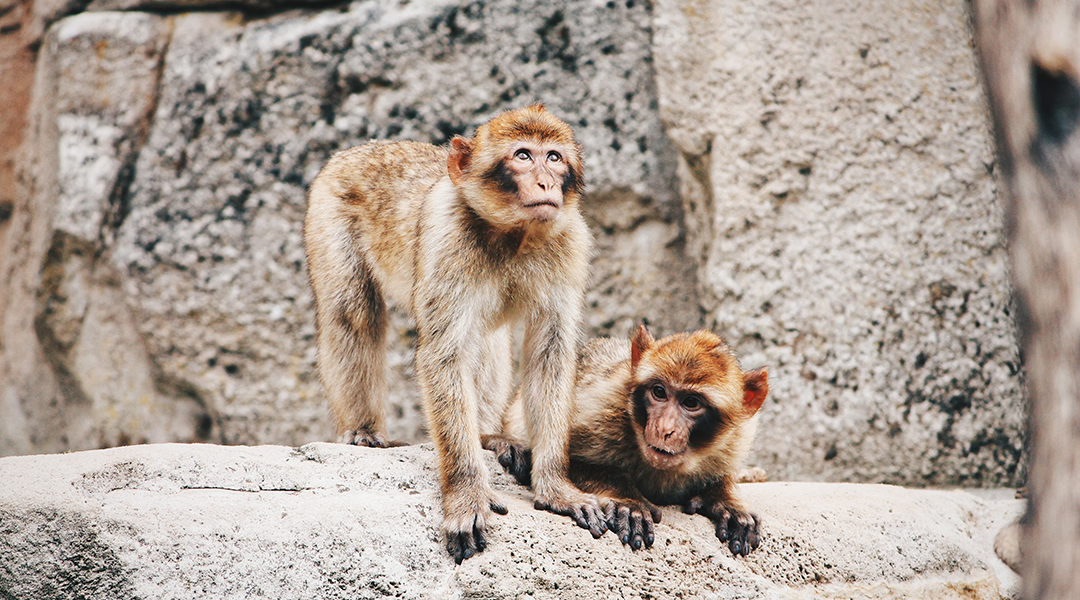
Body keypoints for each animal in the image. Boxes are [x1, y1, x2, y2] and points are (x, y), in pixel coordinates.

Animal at [304, 105, 609, 565]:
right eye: (523, 155)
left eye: (553, 157)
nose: (546, 183)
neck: (514, 235)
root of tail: (358, 149)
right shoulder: (449, 239)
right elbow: (443, 356)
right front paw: (466, 494)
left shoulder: (569, 241)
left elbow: (550, 356)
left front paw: (556, 487)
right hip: (328, 210)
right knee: (353, 312)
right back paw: (362, 429)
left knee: (487, 339)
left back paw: (486, 435)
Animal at [490, 325, 768, 556]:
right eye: (659, 392)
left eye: (691, 402)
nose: (665, 429)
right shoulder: (602, 403)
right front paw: (628, 501)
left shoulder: (736, 437)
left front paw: (726, 500)